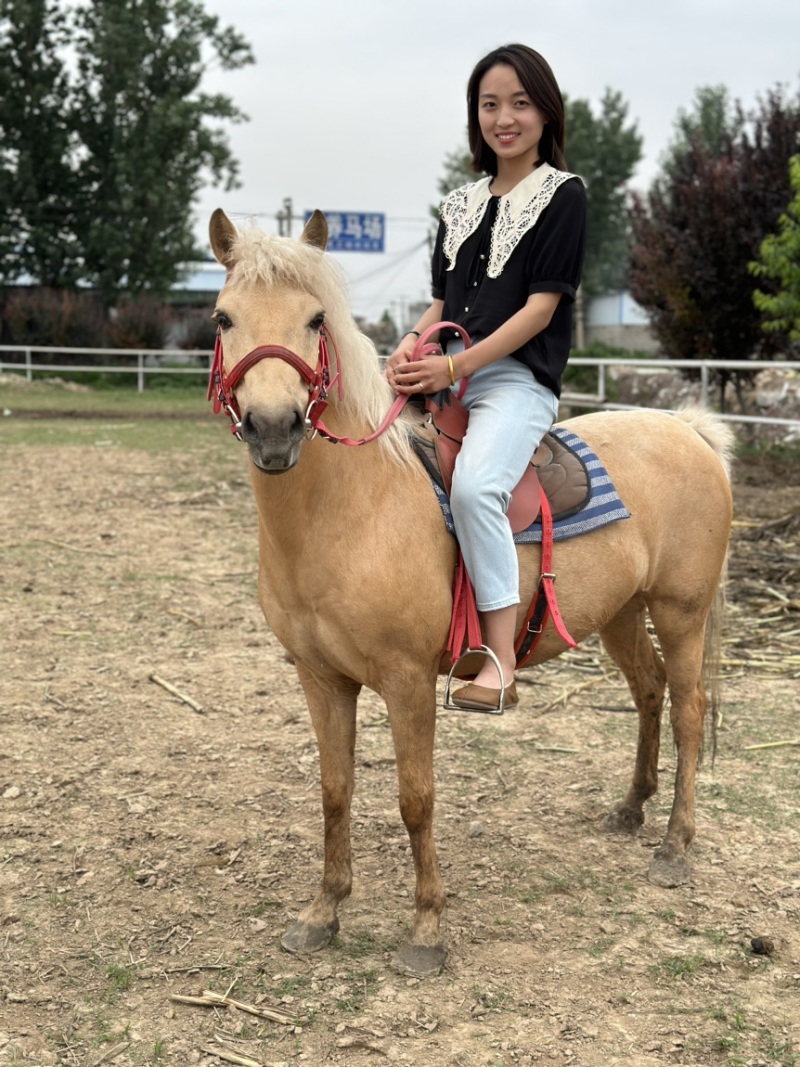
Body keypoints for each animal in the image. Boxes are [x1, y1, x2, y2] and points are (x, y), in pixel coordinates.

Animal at [207, 207, 734, 978]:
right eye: (223, 318)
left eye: (315, 319)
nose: (276, 430)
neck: (350, 508)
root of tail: (688, 430)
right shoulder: (320, 678)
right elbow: (335, 791)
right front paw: (323, 911)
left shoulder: (406, 682)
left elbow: (415, 799)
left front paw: (426, 928)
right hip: (621, 615)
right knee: (651, 690)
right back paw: (631, 808)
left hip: (681, 611)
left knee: (691, 710)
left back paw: (674, 845)